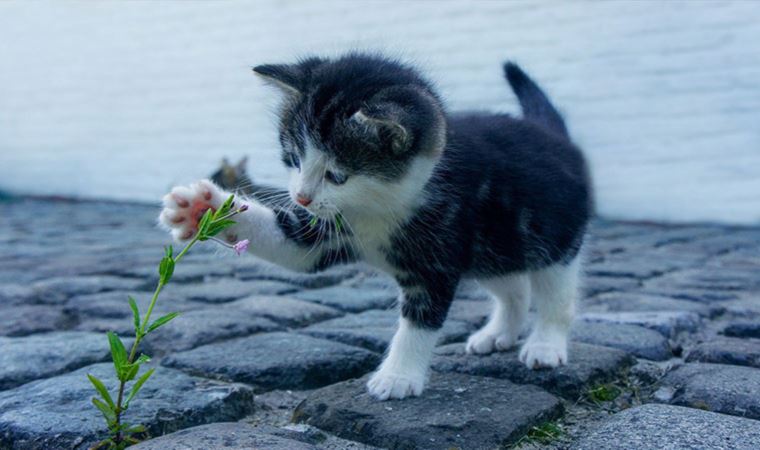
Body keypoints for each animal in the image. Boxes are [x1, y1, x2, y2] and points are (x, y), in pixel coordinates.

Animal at [159, 52, 592, 400]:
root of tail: (554, 136)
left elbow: (420, 320)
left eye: (337, 175)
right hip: (494, 247)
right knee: (513, 287)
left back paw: (545, 345)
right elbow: (292, 245)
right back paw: (498, 333)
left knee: (555, 294)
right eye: (293, 159)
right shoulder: (327, 230)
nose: (301, 197)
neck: (379, 206)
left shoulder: (438, 252)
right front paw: (202, 208)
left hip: (553, 238)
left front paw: (398, 377)